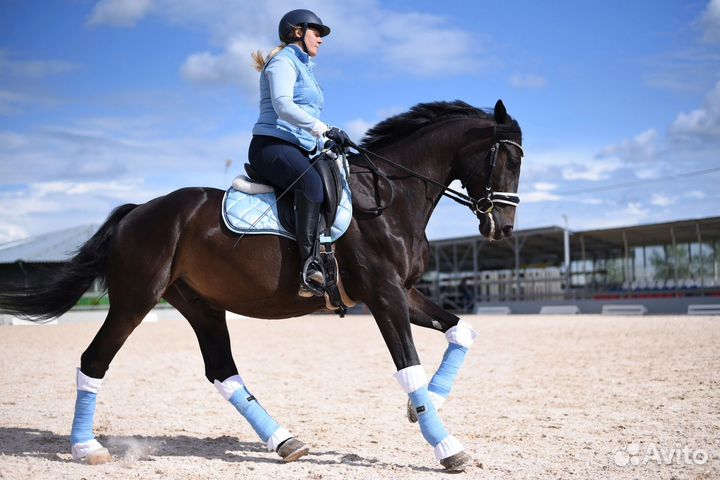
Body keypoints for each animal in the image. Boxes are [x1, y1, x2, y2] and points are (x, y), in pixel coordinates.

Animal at [0, 99, 523, 471]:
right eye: (507, 160)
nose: (503, 229)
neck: (389, 196)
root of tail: (137, 212)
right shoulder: (384, 295)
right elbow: (409, 367)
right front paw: (446, 446)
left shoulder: (404, 292)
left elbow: (462, 331)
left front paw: (426, 407)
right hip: (135, 301)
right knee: (94, 361)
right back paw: (86, 448)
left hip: (200, 305)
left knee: (222, 371)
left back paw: (286, 441)